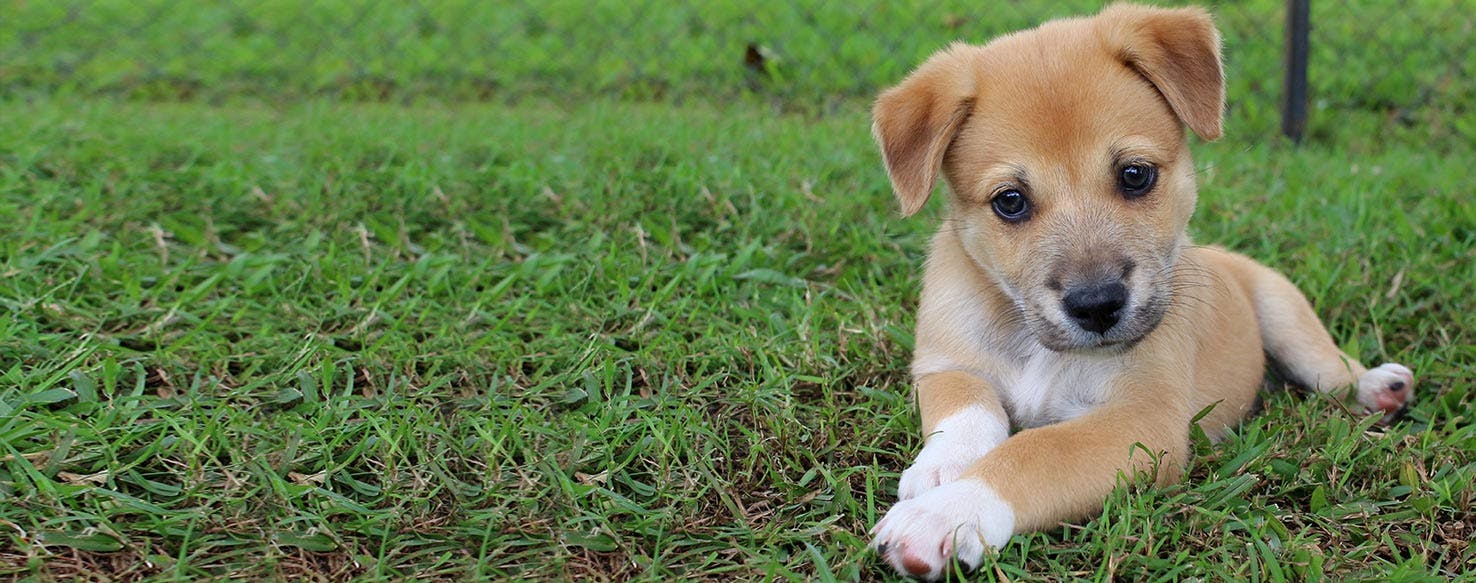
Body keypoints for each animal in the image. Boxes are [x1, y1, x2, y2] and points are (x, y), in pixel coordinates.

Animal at [867, 4, 1411, 578]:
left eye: (1135, 174)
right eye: (1009, 201)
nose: (1097, 306)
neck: (1035, 341)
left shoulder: (1142, 422)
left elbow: (1039, 451)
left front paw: (947, 515)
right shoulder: (949, 366)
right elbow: (968, 410)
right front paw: (941, 469)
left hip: (1286, 317)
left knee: (1331, 369)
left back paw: (1379, 386)